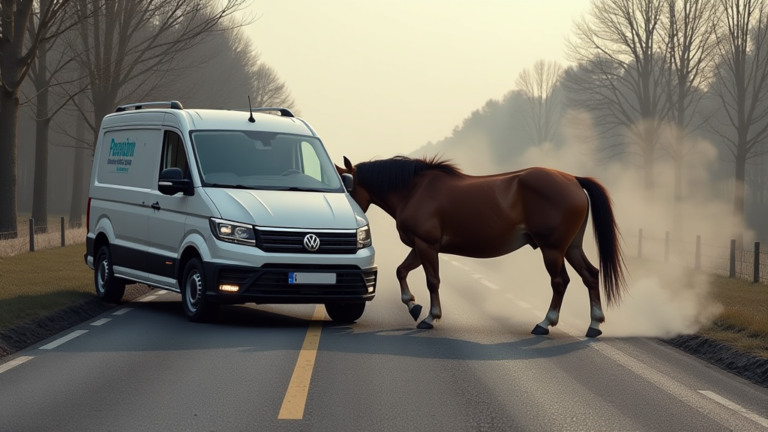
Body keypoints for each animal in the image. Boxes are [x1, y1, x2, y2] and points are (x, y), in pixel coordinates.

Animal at [338, 155, 632, 338]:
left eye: (346, 185)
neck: (414, 190)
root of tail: (573, 179)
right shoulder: (421, 247)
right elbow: (401, 271)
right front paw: (413, 306)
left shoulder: (427, 245)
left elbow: (432, 281)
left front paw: (429, 317)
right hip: (571, 248)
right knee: (590, 275)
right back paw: (594, 325)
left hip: (553, 249)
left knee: (560, 282)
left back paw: (544, 323)